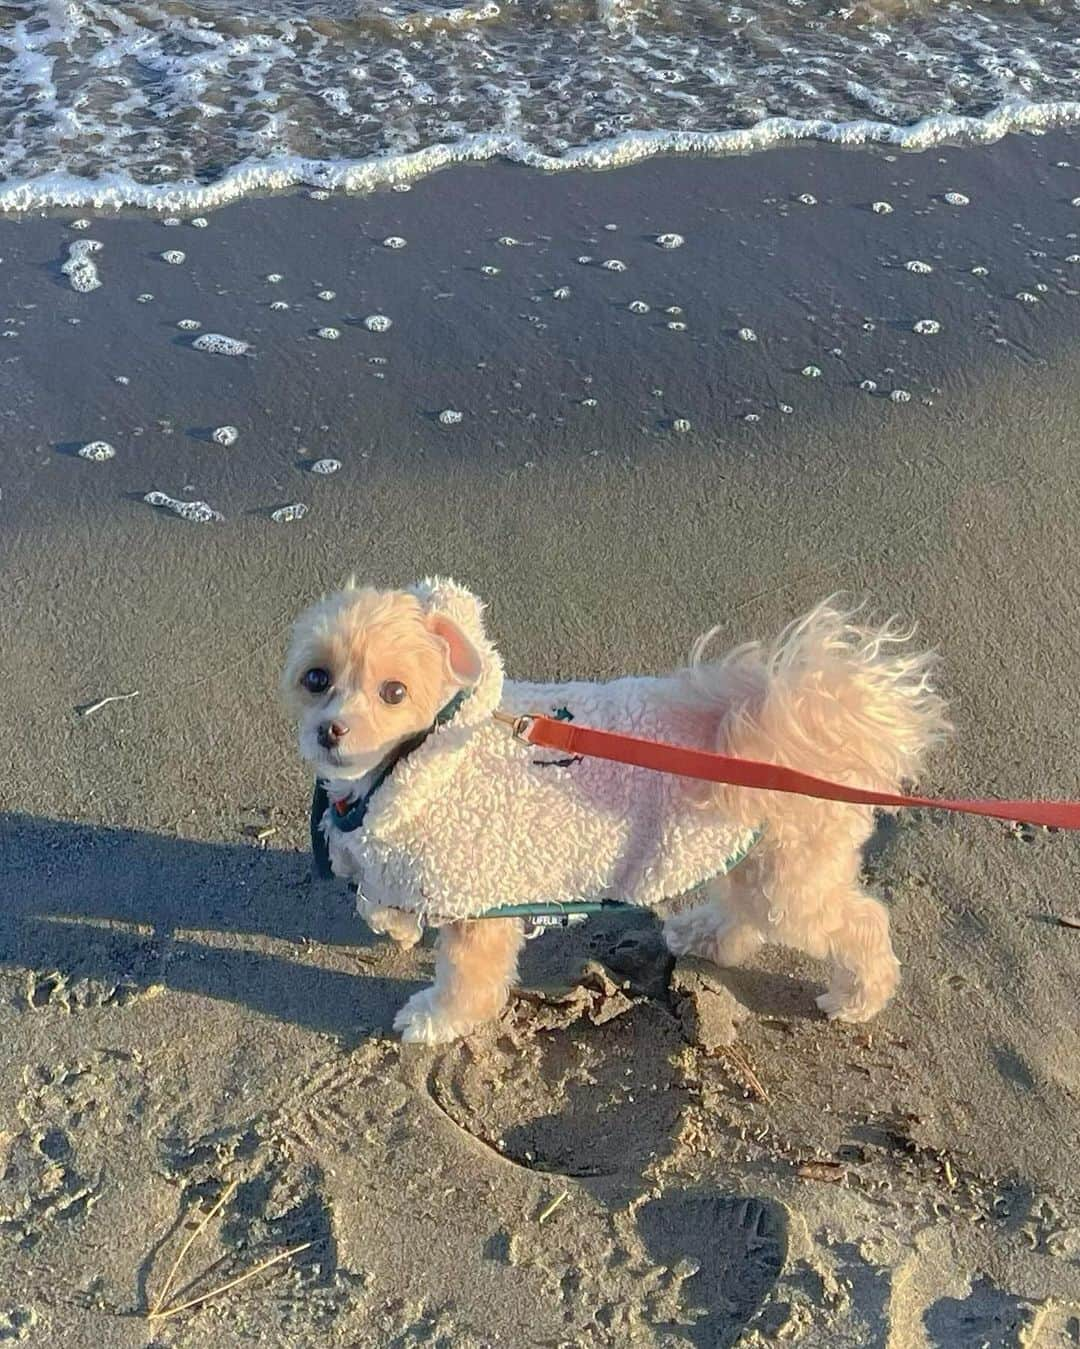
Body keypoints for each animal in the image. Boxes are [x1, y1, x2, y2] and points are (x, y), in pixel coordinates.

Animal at [281, 577, 949, 1041]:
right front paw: (396, 924)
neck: (423, 752)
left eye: (394, 692)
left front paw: (435, 1019)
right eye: (316, 679)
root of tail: (803, 723)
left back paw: (859, 996)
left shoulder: (481, 904)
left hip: (786, 881)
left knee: (859, 922)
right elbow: (376, 899)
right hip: (750, 854)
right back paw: (706, 934)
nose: (330, 732)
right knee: (743, 912)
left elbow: (466, 982)